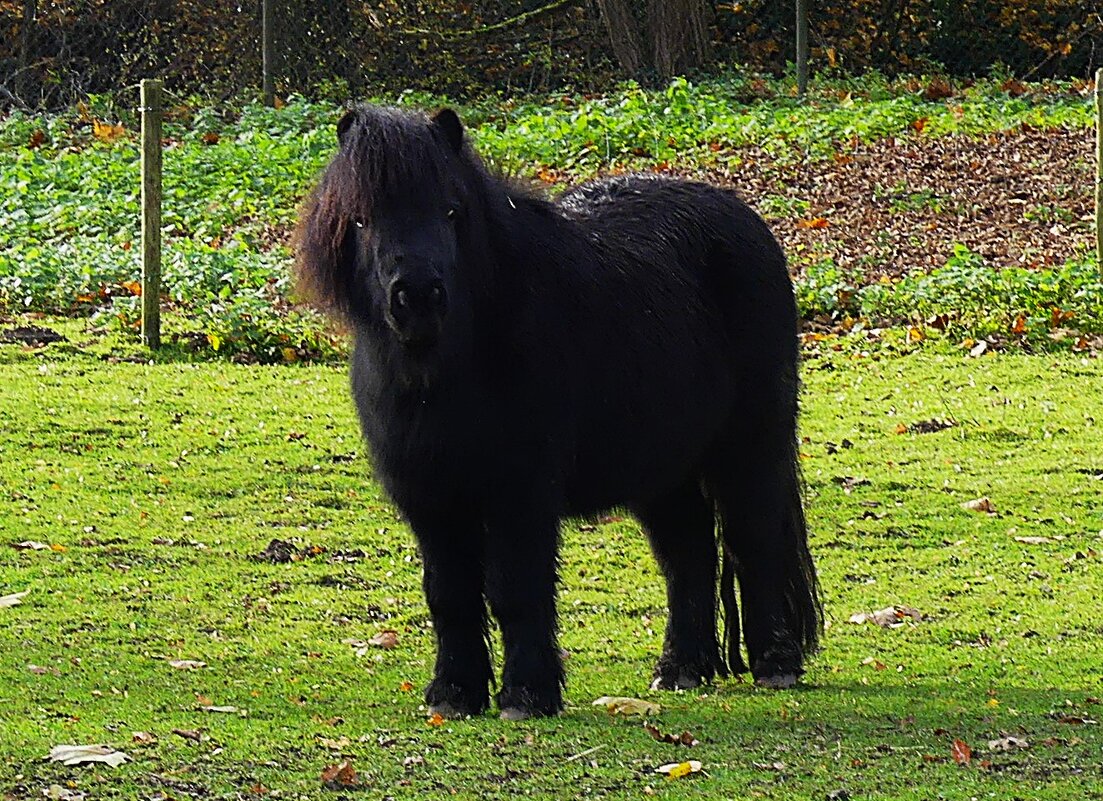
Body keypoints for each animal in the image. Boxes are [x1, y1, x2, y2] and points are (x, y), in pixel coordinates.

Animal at [297, 105, 825, 723]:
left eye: (451, 209)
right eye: (361, 219)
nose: (419, 296)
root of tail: (745, 220)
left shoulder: (520, 491)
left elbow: (517, 589)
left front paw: (527, 694)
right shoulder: (431, 498)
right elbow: (450, 595)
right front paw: (455, 693)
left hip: (750, 444)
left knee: (754, 538)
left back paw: (775, 663)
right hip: (662, 467)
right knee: (688, 554)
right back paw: (681, 669)